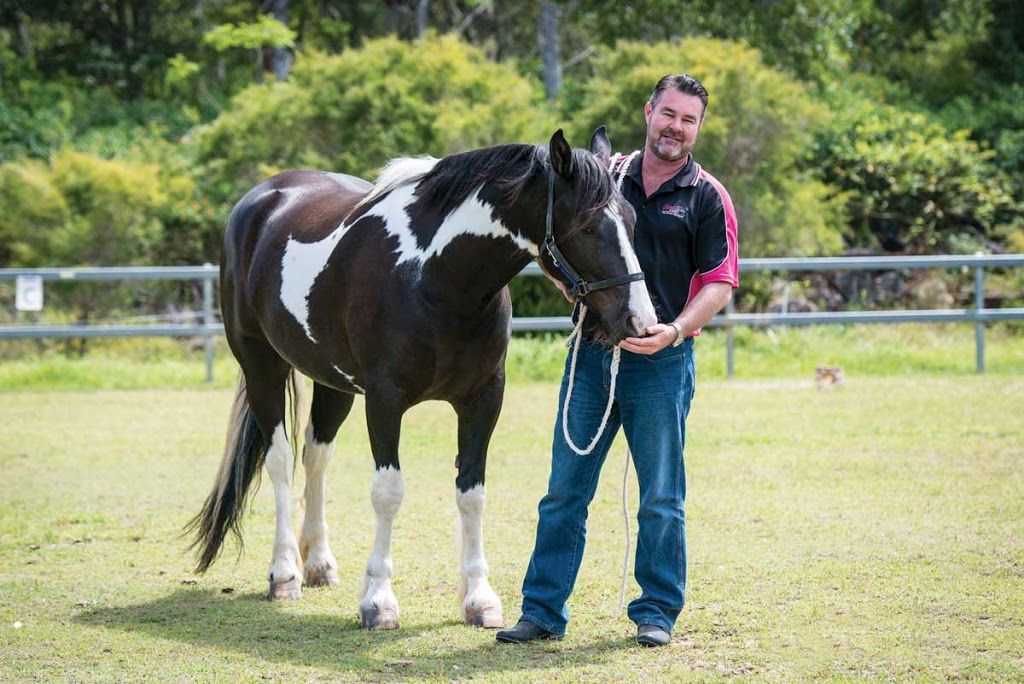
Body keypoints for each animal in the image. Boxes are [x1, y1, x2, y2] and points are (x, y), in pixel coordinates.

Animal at [186, 127, 655, 630]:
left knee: (316, 456)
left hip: (332, 382)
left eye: (631, 220)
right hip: (262, 367)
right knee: (280, 460)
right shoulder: (384, 400)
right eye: (587, 227)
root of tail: (261, 199)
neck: (435, 277)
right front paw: (378, 601)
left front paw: (479, 598)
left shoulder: (483, 399)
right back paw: (285, 573)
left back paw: (319, 564)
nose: (641, 322)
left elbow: (472, 493)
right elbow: (387, 493)